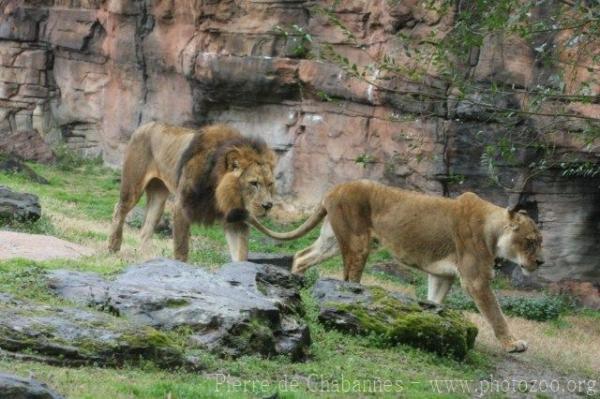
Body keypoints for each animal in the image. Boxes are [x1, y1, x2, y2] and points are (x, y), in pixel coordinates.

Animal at [108, 121, 276, 262]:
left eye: (270, 184)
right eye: (253, 183)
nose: (268, 206)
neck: (218, 191)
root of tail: (144, 126)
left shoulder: (235, 220)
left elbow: (240, 255)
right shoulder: (181, 206)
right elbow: (181, 249)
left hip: (159, 196)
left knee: (146, 228)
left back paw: (147, 258)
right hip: (133, 187)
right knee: (118, 209)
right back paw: (113, 247)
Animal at [248, 181, 544, 354]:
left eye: (540, 242)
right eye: (530, 241)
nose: (541, 262)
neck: (493, 231)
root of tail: (334, 188)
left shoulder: (441, 275)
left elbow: (435, 300)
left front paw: (434, 324)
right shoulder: (475, 279)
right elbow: (496, 314)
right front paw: (513, 343)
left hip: (331, 239)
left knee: (302, 256)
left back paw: (295, 282)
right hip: (358, 243)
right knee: (348, 278)